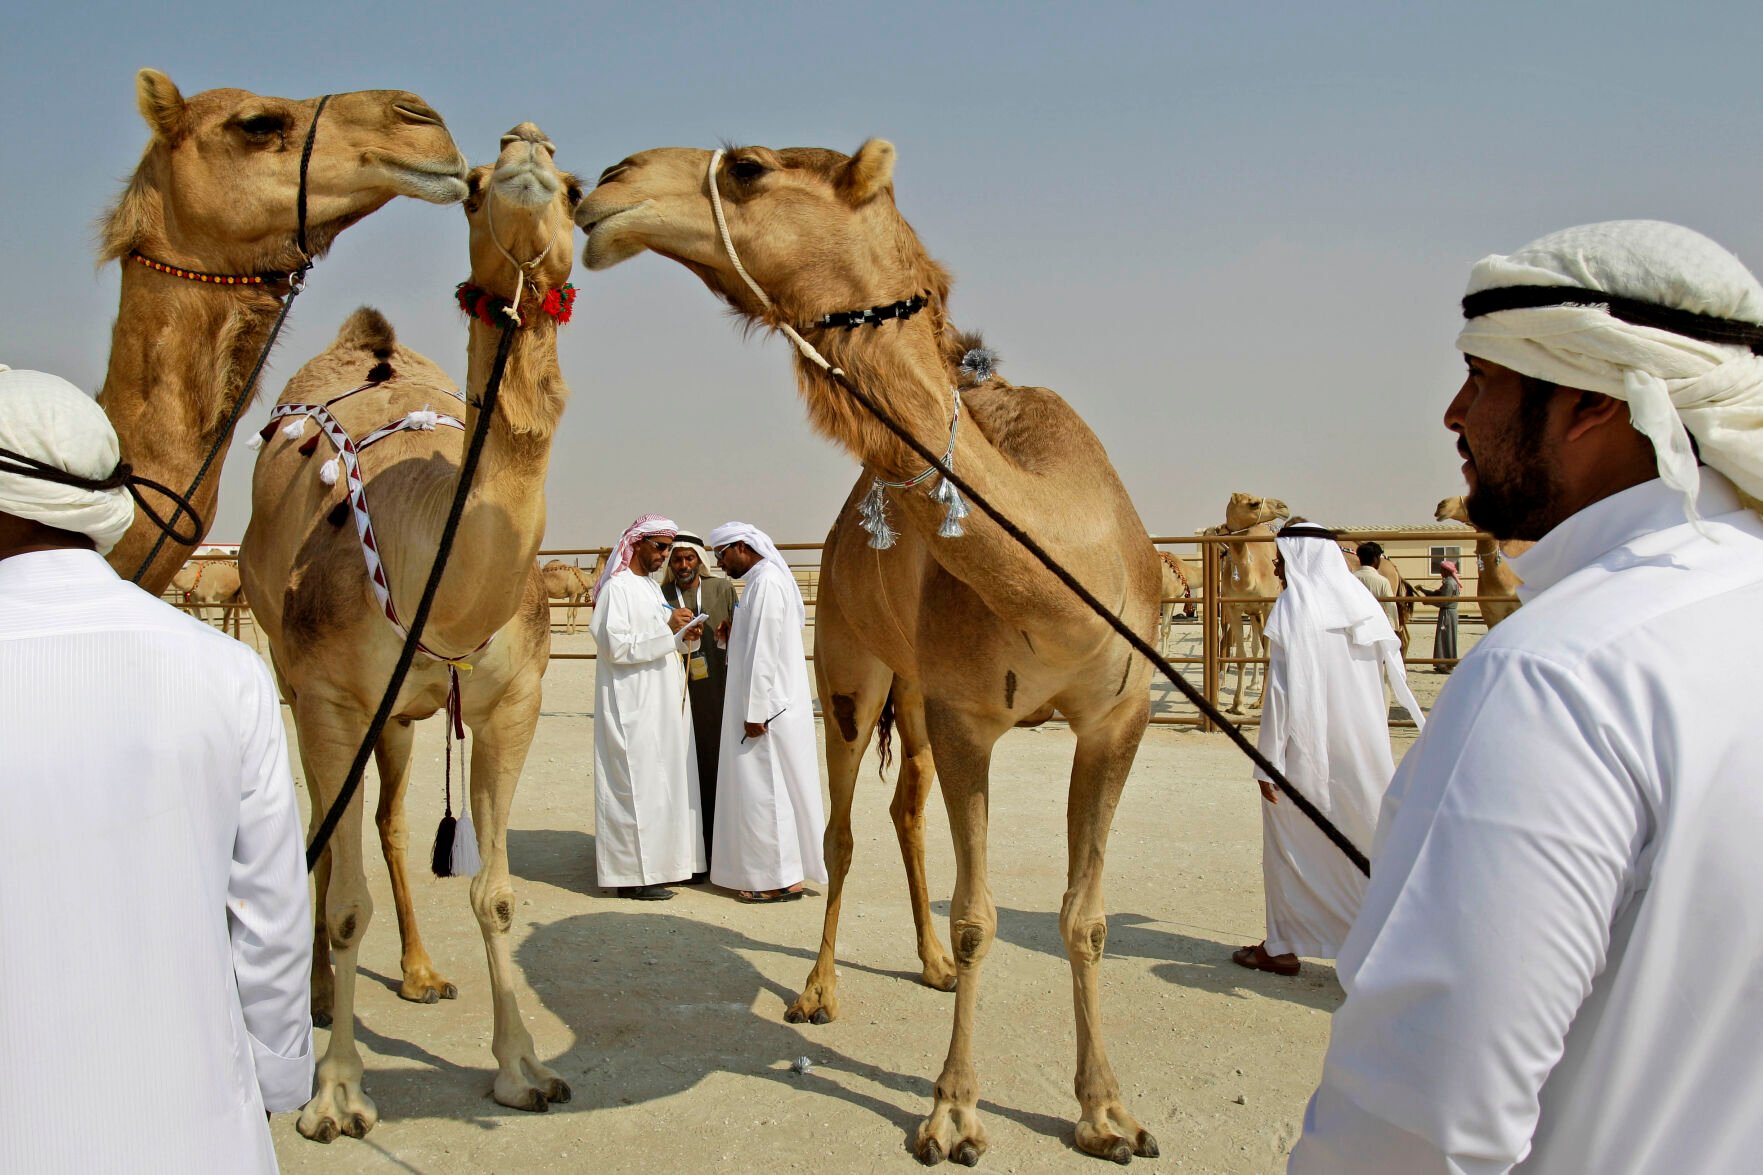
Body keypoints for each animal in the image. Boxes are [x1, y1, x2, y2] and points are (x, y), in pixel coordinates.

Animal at [239, 127, 578, 1143]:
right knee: (325, 821)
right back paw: (317, 998)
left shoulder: (515, 699)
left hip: (398, 717)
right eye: (470, 188)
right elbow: (344, 896)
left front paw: (522, 1069)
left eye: (573, 188)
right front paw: (336, 1094)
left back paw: (423, 973)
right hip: (305, 681)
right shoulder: (328, 695)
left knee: (390, 819)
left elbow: (495, 890)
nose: (525, 145)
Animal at [571, 137, 1163, 1164]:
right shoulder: (971, 715)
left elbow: (1084, 918)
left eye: (750, 168)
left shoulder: (1114, 717)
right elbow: (978, 917)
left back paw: (921, 963)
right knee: (842, 829)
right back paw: (817, 989)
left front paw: (1105, 1112)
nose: (606, 183)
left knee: (904, 806)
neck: (1067, 559)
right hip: (851, 668)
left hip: (913, 692)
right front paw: (953, 1112)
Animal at [1205, 490, 1290, 709]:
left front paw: (1261, 703)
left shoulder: (1268, 606)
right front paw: (1237, 704)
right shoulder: (1233, 608)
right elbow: (1242, 656)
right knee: (1256, 645)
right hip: (1253, 613)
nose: (1284, 507)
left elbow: (1268, 654)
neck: (1249, 581)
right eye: (1253, 503)